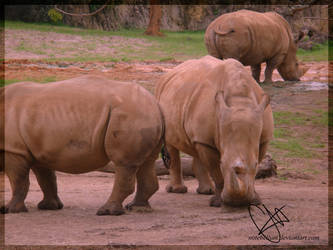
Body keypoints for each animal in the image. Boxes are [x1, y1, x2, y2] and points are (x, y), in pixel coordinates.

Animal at [0, 75, 165, 216]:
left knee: (124, 164)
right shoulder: (36, 151)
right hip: (143, 115)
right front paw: (49, 206)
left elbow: (19, 181)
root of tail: (157, 104)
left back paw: (107, 212)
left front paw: (10, 210)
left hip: (131, 114)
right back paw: (137, 208)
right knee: (146, 162)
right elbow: (46, 179)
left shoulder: (13, 150)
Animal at [155, 56, 272, 207]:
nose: (238, 203)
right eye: (222, 163)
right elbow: (216, 170)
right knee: (172, 145)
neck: (240, 102)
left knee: (196, 146)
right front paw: (219, 202)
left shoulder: (263, 139)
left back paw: (206, 191)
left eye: (256, 165)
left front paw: (255, 200)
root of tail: (168, 74)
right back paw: (178, 191)